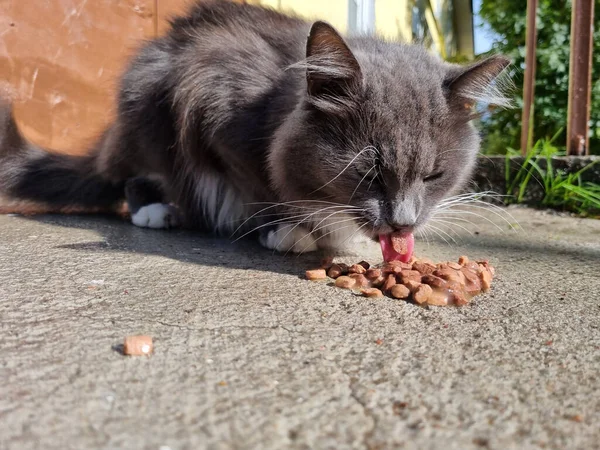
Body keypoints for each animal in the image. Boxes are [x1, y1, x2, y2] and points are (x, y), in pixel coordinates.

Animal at [0, 0, 510, 262]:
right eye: (368, 173)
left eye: (434, 176)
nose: (403, 223)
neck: (278, 103)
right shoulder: (212, 105)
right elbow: (261, 185)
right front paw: (291, 232)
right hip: (147, 106)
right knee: (135, 176)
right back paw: (159, 212)